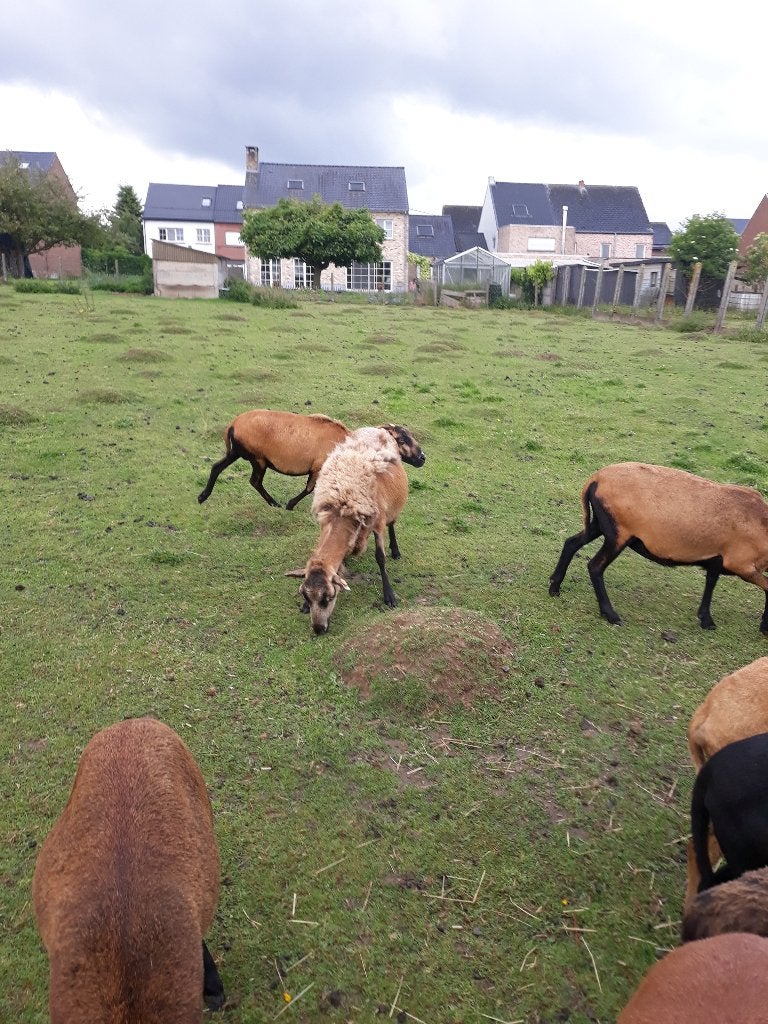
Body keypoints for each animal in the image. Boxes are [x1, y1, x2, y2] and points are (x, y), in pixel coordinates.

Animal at [197, 409, 425, 509]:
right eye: (401, 439)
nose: (422, 458)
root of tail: (233, 425)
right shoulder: (318, 467)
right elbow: (309, 488)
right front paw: (290, 504)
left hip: (236, 452)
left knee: (216, 467)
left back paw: (202, 496)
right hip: (257, 458)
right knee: (255, 481)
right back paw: (275, 503)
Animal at [285, 426, 409, 633]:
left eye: (329, 597)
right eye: (306, 596)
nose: (318, 629)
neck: (342, 509)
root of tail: (375, 428)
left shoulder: (377, 524)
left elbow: (380, 558)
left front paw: (389, 595)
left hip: (391, 507)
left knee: (392, 524)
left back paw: (395, 550)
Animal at [548, 462, 768, 632]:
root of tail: (595, 479)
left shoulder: (717, 558)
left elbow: (711, 582)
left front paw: (706, 619)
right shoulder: (741, 564)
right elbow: (767, 587)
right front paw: (763, 626)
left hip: (600, 524)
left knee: (571, 543)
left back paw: (554, 587)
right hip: (619, 532)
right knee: (595, 566)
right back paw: (611, 614)